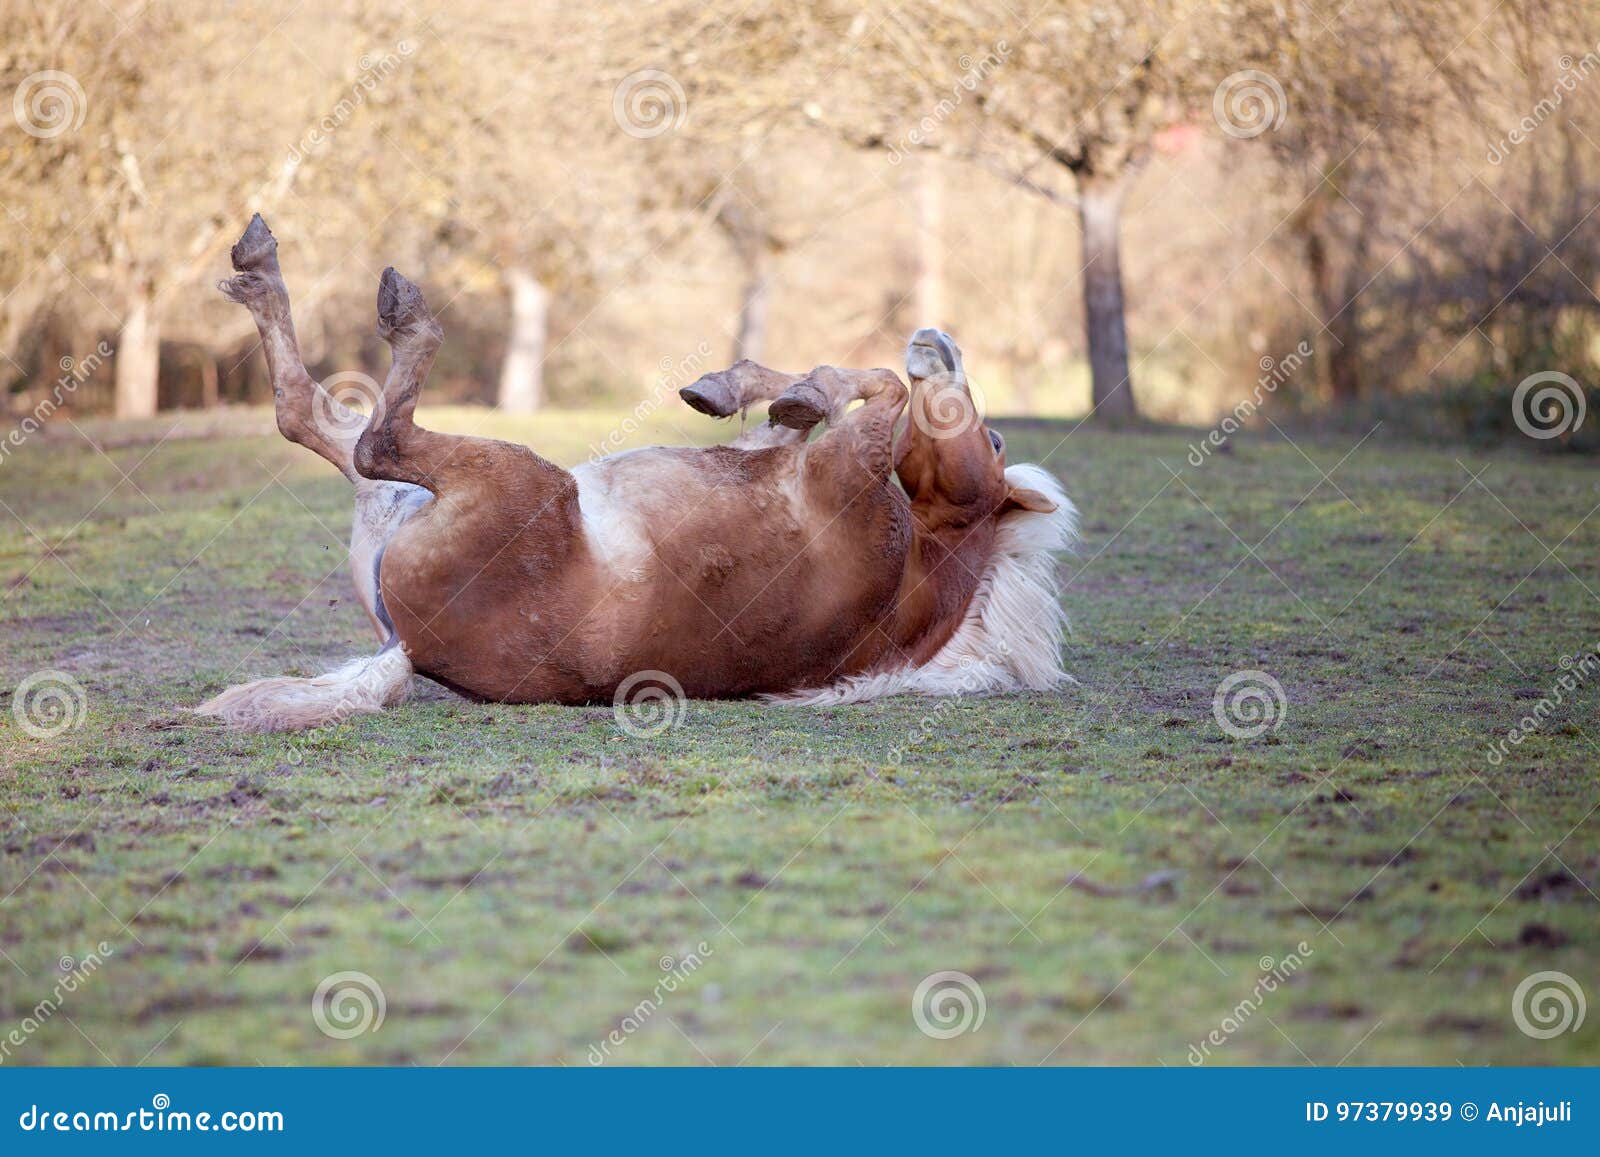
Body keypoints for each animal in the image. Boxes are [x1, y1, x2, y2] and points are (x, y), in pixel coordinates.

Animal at [196, 216, 1077, 730]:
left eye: (995, 443)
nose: (940, 340)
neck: (910, 569)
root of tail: (408, 648)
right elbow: (810, 394)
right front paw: (736, 388)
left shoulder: (846, 466)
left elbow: (879, 384)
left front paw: (805, 388)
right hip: (402, 495)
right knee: (311, 416)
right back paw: (260, 267)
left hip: (504, 475)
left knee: (370, 437)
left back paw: (389, 308)